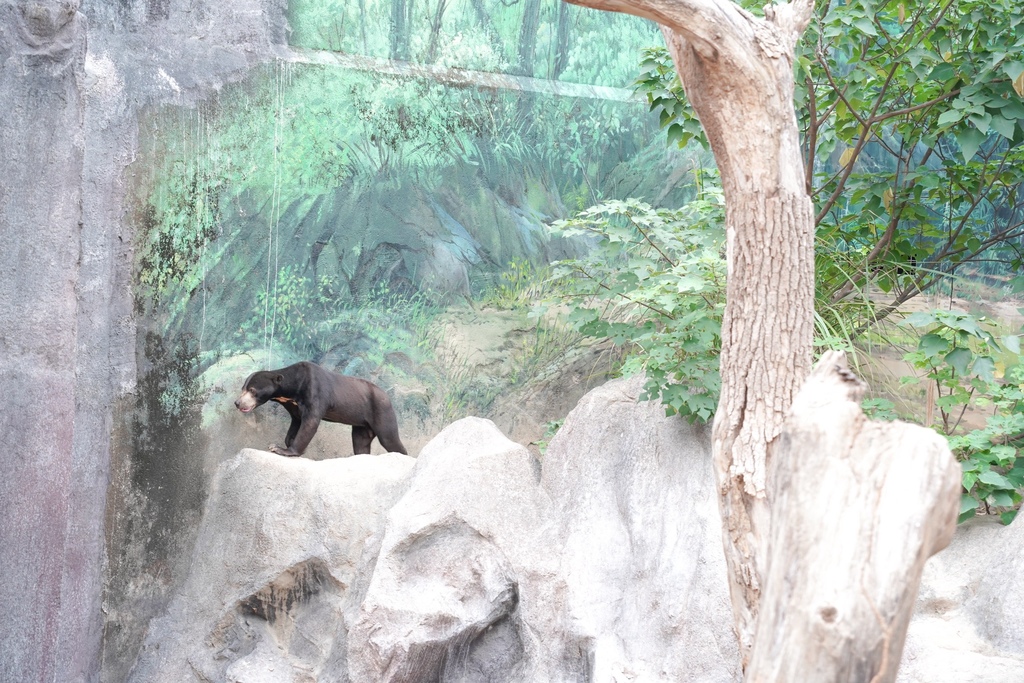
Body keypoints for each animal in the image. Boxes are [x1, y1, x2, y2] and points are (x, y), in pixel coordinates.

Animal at [233, 360, 407, 456]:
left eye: (252, 390)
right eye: (243, 388)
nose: (237, 403)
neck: (291, 390)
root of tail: (388, 397)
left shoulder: (314, 392)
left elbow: (310, 423)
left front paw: (281, 449)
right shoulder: (294, 406)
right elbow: (296, 423)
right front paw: (287, 444)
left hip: (381, 411)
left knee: (389, 438)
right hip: (361, 424)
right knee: (360, 443)